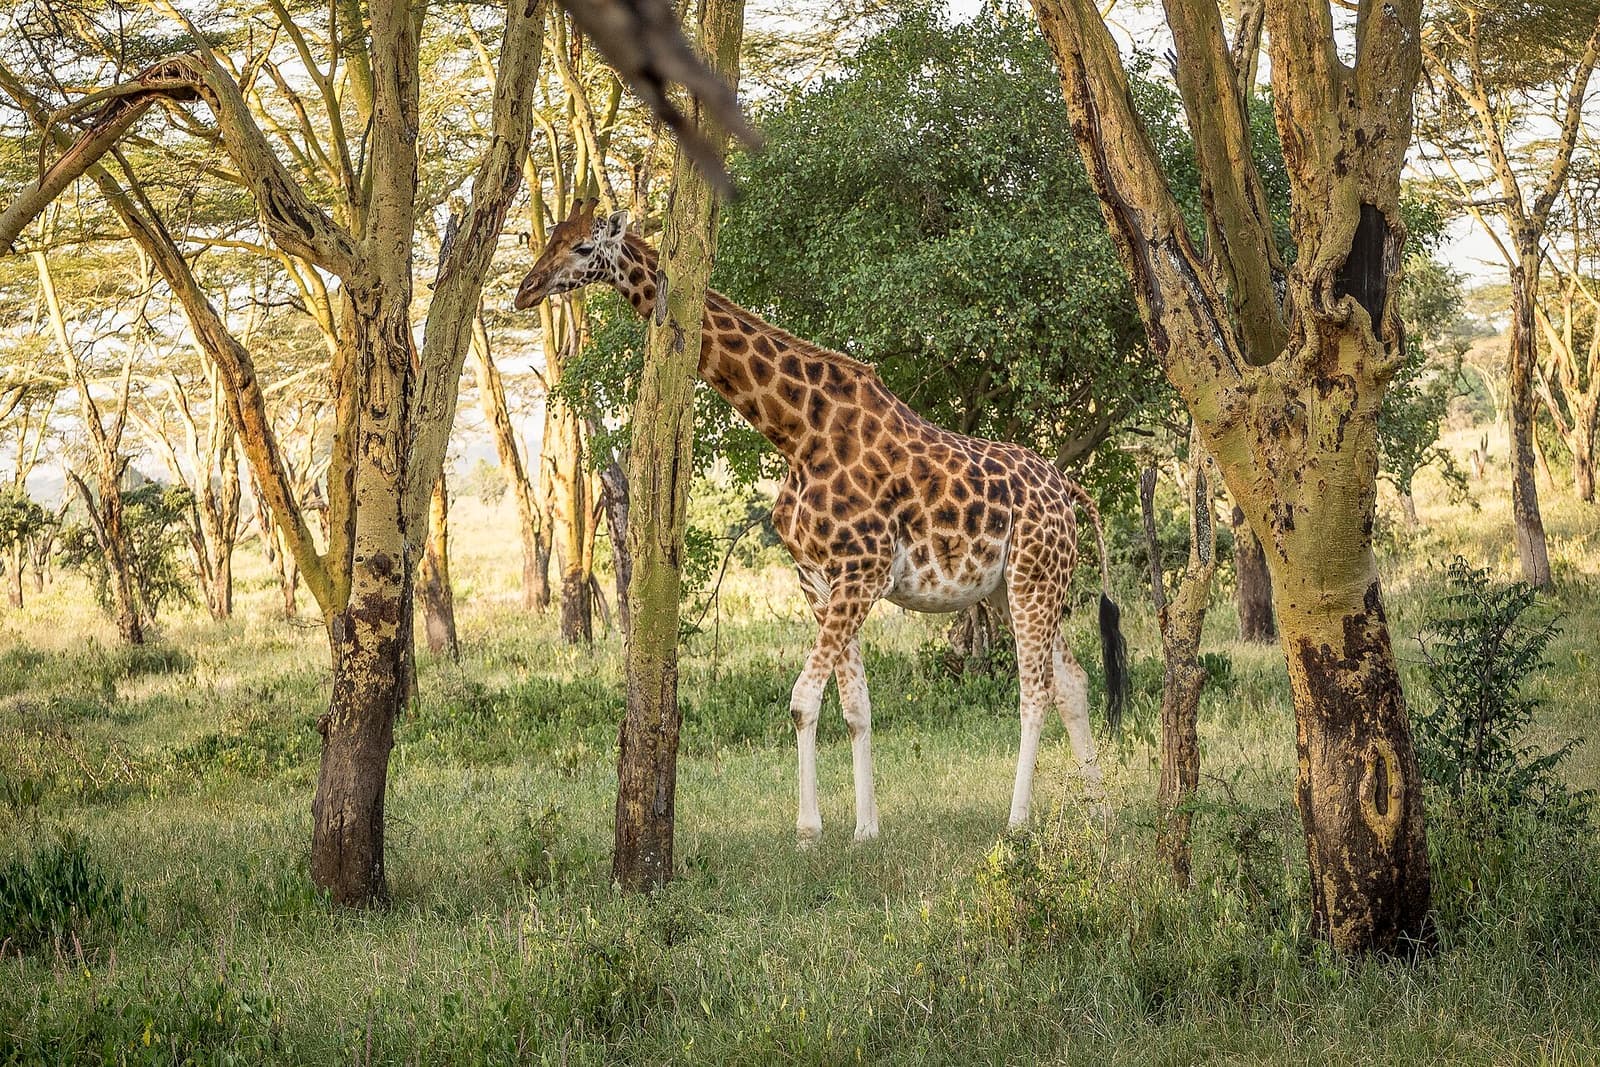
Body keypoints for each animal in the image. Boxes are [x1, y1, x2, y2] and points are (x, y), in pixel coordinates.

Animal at [514, 198, 1128, 844]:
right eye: (549, 238)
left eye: (584, 248)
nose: (526, 290)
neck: (795, 432)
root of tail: (1068, 490)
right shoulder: (819, 578)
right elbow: (854, 707)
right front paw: (864, 829)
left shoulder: (862, 572)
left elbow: (803, 699)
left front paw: (809, 828)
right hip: (1019, 586)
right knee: (1073, 682)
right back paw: (1100, 810)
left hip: (1034, 578)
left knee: (1035, 691)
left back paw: (1017, 822)